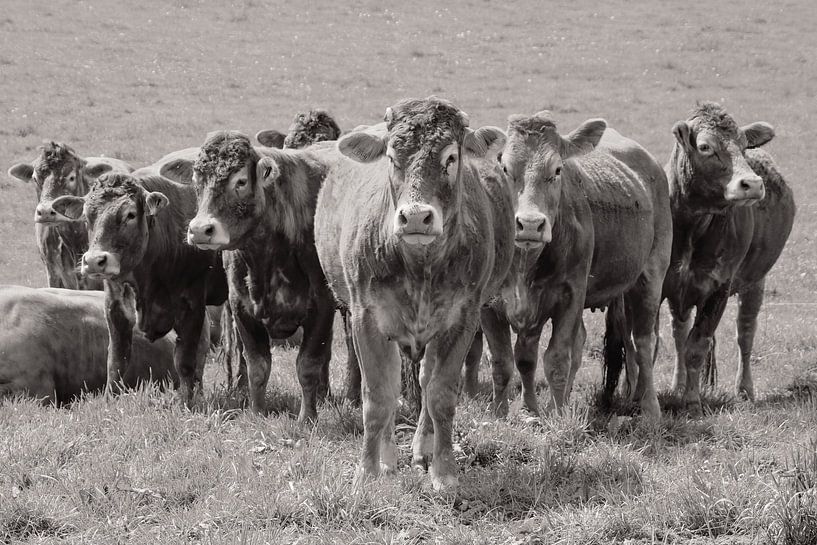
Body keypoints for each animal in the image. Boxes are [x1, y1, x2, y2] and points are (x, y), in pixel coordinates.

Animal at [50, 173, 228, 404]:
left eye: (130, 215)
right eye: (87, 216)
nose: (94, 261)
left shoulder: (192, 305)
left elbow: (184, 360)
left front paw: (186, 403)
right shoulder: (115, 306)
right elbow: (116, 360)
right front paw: (109, 400)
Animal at [179, 131, 338, 422]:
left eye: (240, 181)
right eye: (197, 180)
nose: (200, 230)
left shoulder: (322, 305)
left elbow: (308, 364)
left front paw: (307, 418)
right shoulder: (242, 307)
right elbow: (257, 366)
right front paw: (257, 412)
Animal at [314, 96, 514, 491]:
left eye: (451, 158)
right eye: (392, 157)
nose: (417, 217)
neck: (420, 267)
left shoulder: (462, 319)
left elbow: (440, 395)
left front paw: (444, 471)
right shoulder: (366, 318)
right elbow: (378, 396)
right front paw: (368, 470)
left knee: (424, 380)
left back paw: (422, 450)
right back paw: (388, 457)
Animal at [479, 112, 672, 421]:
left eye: (557, 169)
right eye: (505, 167)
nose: (530, 224)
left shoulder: (570, 296)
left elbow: (557, 358)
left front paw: (557, 417)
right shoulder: (492, 304)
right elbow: (507, 361)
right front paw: (513, 412)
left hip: (651, 276)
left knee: (643, 342)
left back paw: (650, 408)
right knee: (580, 344)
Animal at [663, 102, 795, 415]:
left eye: (744, 146)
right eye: (705, 146)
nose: (752, 184)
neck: (690, 226)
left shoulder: (718, 289)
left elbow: (697, 346)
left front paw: (692, 402)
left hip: (756, 282)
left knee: (744, 334)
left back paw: (744, 389)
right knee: (678, 333)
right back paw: (677, 384)